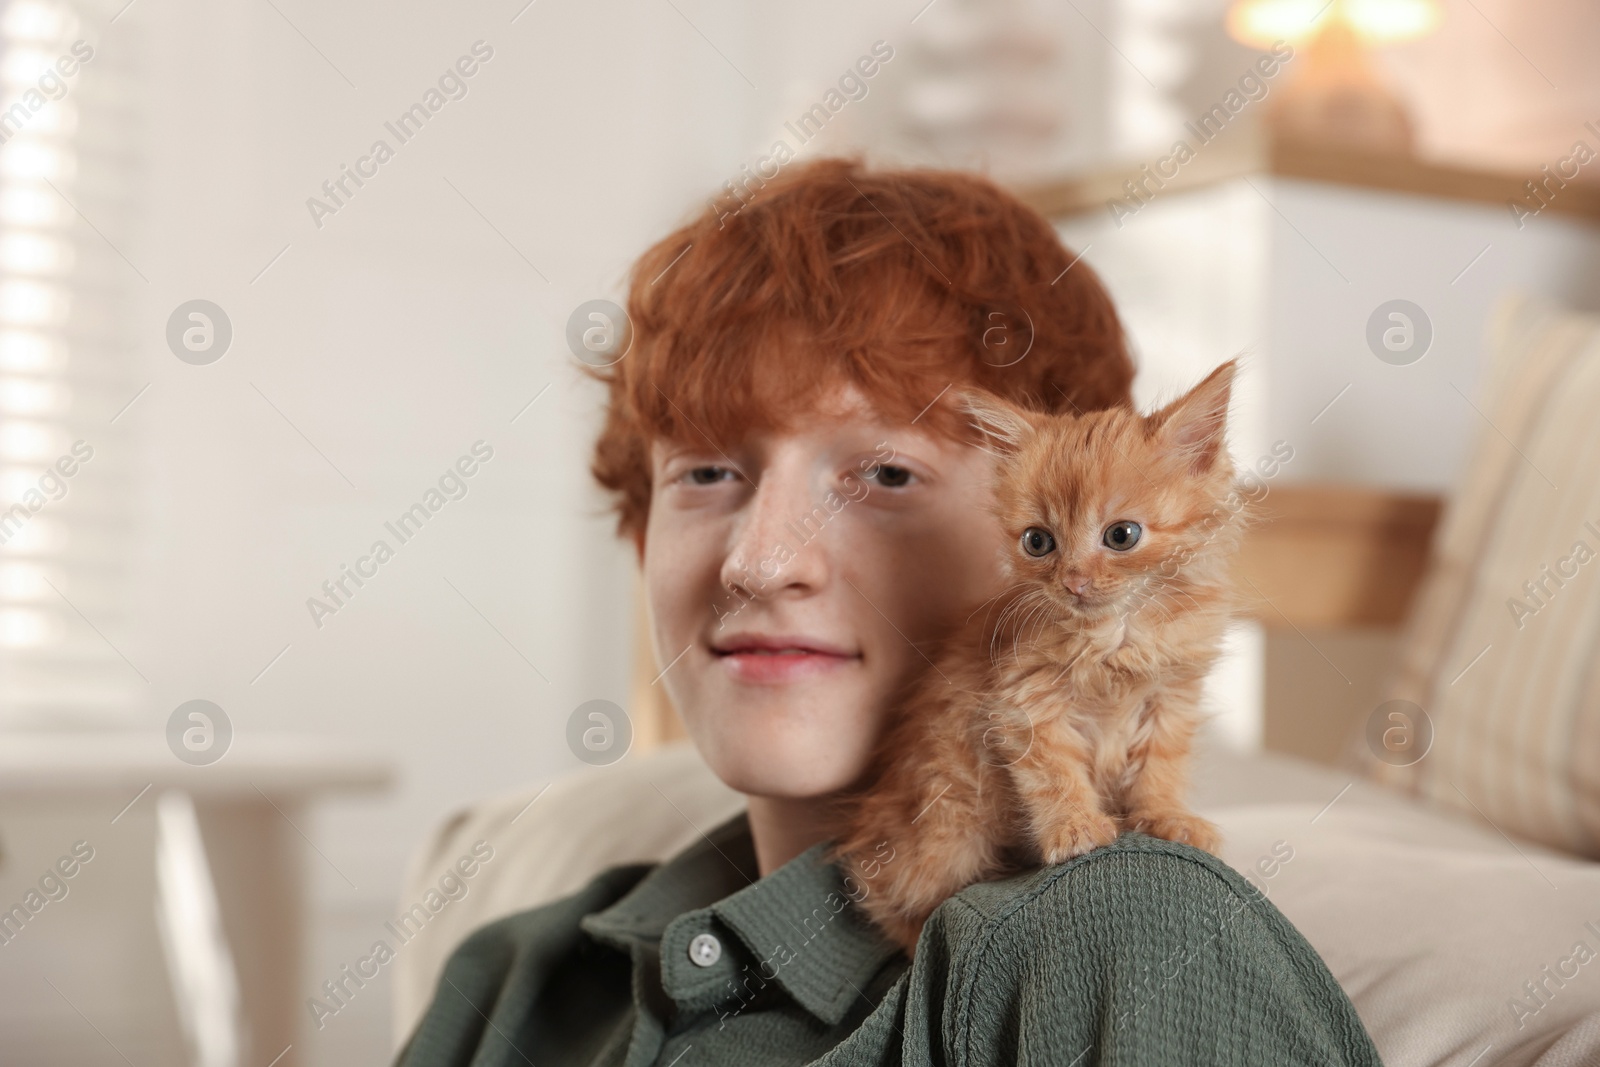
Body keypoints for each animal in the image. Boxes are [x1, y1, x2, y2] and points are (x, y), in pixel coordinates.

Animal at [832, 363, 1254, 953]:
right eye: (1038, 542)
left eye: (1121, 535)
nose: (1072, 581)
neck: (1115, 638)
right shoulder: (1023, 701)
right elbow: (1054, 772)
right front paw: (1075, 828)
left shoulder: (1170, 698)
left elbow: (1160, 766)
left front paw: (1166, 817)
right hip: (949, 821)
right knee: (891, 893)